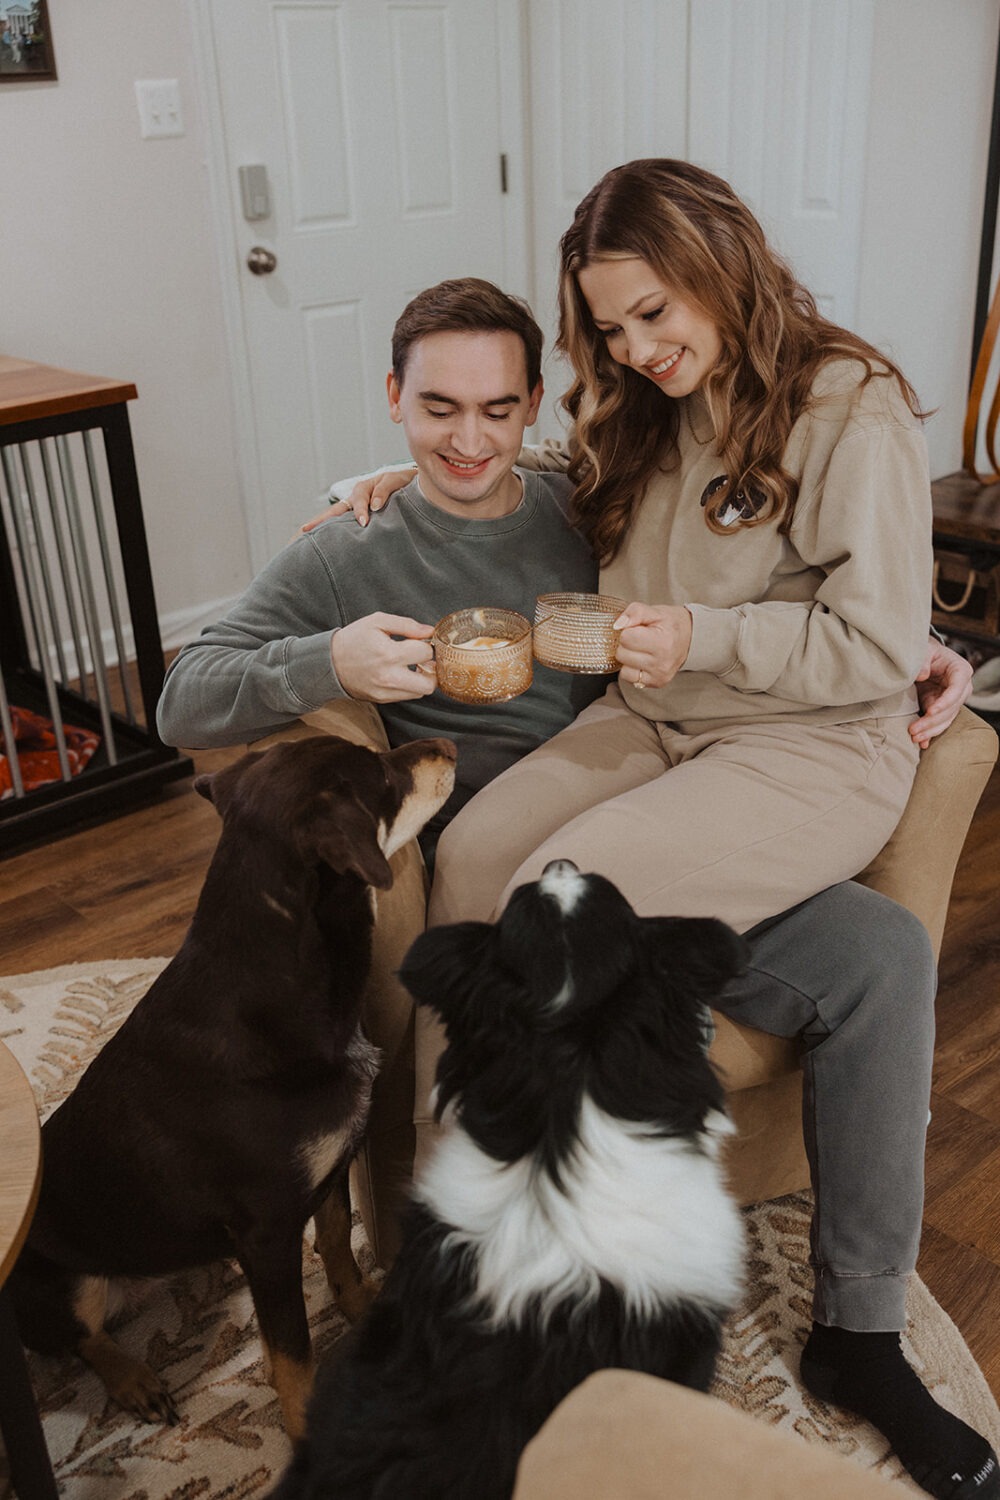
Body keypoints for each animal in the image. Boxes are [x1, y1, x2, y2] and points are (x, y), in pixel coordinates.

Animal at [9, 732, 455, 1434]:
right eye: (383, 775)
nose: (448, 744)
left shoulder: (328, 1170)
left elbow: (338, 1245)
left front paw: (362, 1310)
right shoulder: (267, 1231)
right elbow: (292, 1353)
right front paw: (302, 1431)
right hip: (66, 1283)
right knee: (83, 1339)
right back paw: (135, 1379)